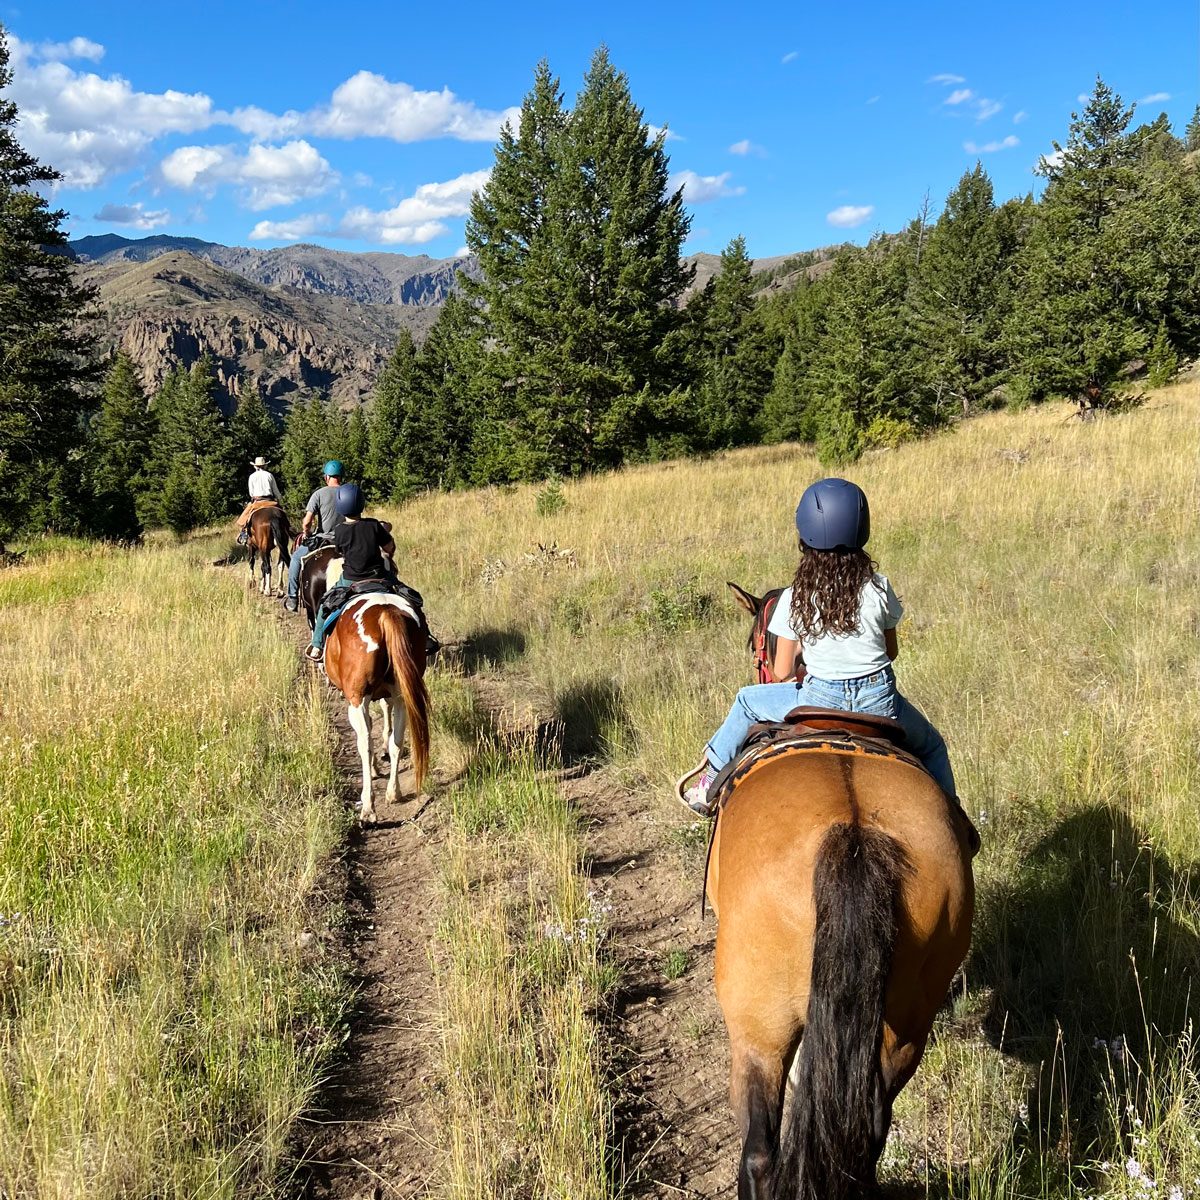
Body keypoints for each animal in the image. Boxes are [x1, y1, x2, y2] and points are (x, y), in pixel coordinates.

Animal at [321, 590, 429, 825]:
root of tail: (386, 614)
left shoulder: (359, 700)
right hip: (402, 696)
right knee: (397, 741)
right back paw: (393, 792)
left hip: (358, 699)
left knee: (365, 743)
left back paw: (368, 808)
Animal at [705, 585, 979, 1195]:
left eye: (758, 642)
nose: (762, 664)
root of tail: (852, 831)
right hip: (907, 1021)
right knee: (869, 1129)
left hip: (758, 1025)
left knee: (760, 1150)